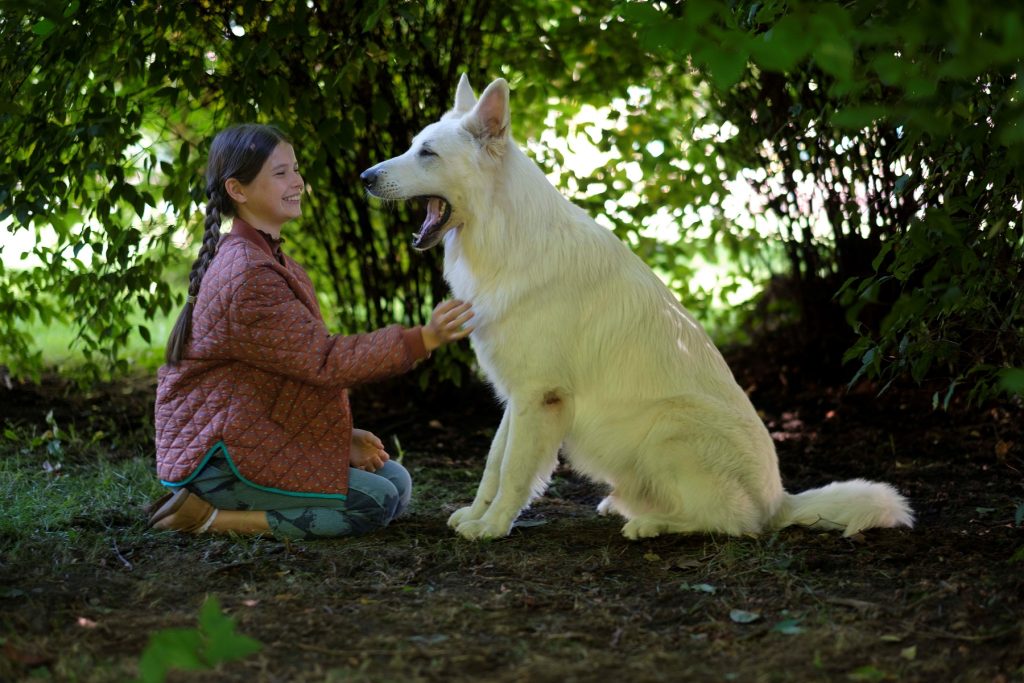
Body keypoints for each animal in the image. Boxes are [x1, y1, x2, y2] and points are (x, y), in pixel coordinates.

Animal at [358, 74, 913, 540]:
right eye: (412, 146)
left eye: (427, 153)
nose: (364, 177)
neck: (507, 236)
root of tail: (780, 501)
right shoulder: (517, 398)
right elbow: (495, 463)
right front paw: (476, 515)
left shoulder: (540, 397)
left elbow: (515, 471)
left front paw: (492, 528)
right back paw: (625, 505)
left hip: (668, 428)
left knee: (734, 522)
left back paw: (651, 524)